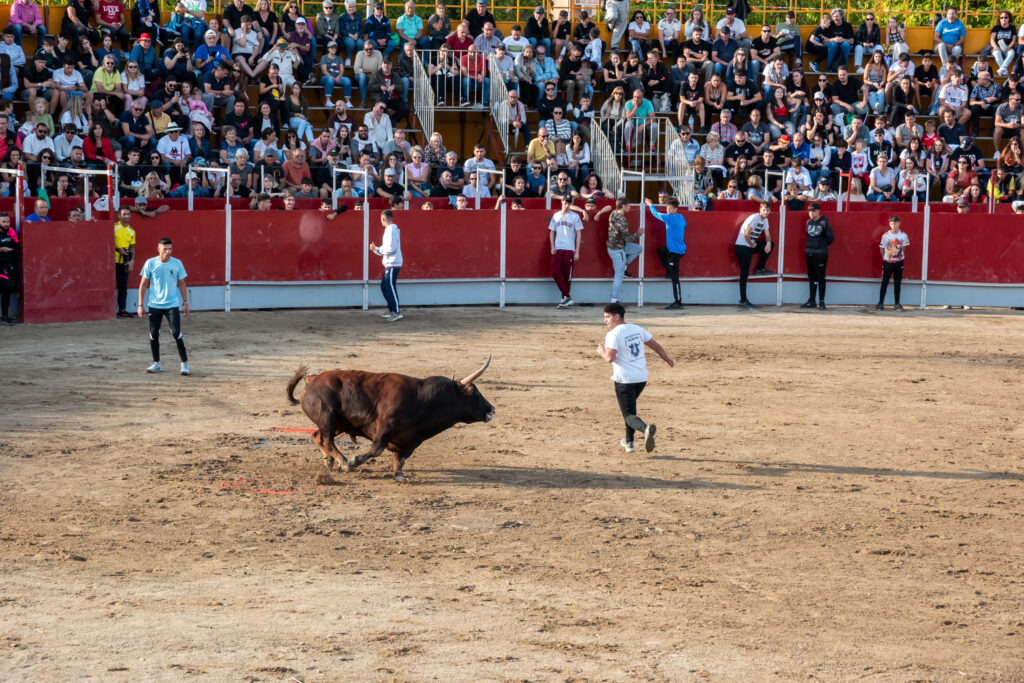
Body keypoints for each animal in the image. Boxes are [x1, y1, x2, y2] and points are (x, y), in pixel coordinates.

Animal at [288, 356, 495, 483]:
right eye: (474, 392)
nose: (492, 409)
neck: (422, 399)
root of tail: (311, 379)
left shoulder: (408, 442)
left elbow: (400, 459)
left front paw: (399, 475)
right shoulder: (383, 431)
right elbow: (375, 450)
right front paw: (354, 461)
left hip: (337, 423)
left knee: (317, 436)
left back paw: (329, 461)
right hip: (327, 418)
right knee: (328, 441)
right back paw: (342, 461)